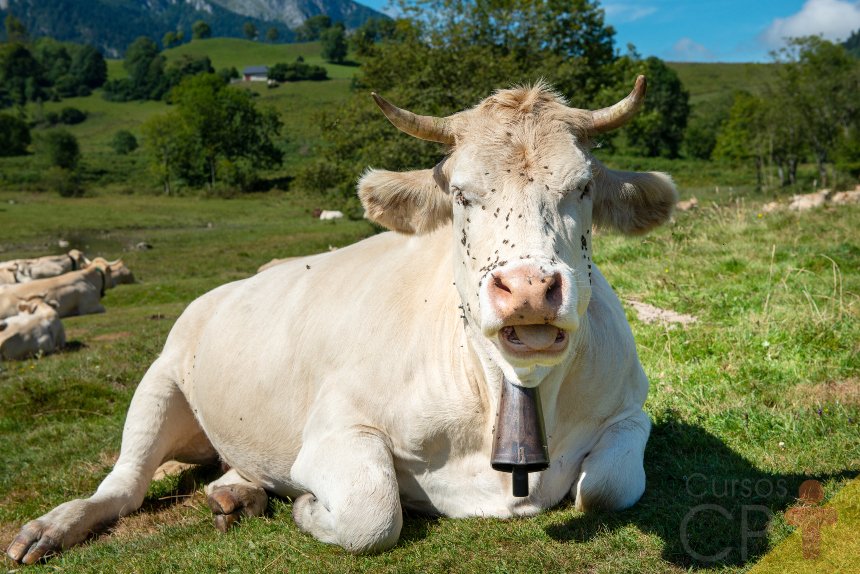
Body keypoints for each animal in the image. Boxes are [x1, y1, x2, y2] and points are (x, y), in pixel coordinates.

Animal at [8, 77, 680, 568]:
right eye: (461, 193)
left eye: (583, 187)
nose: (530, 290)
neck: (506, 394)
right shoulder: (336, 430)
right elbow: (372, 511)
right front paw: (308, 509)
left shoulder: (630, 410)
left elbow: (607, 487)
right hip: (160, 377)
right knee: (122, 484)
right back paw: (50, 528)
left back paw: (237, 491)